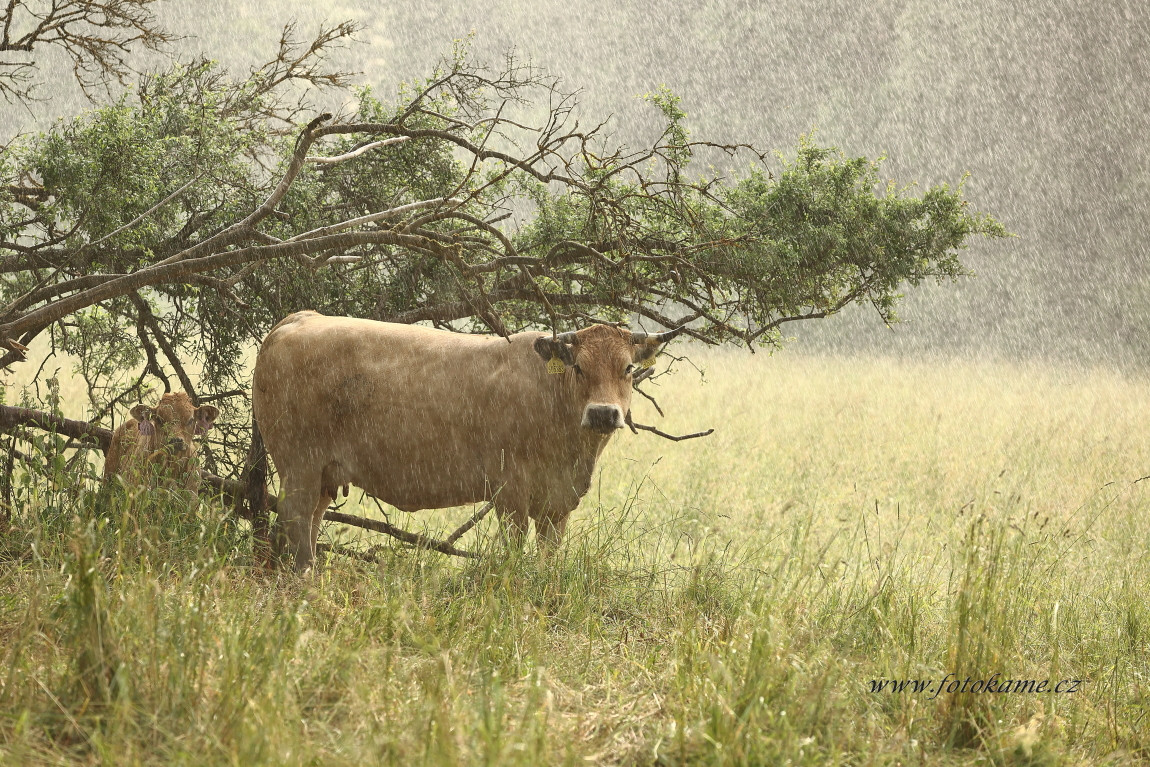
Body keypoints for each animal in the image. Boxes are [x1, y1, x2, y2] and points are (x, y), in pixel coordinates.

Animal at [254, 312, 680, 570]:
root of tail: (299, 319)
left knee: (311, 520)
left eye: (628, 368)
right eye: (578, 367)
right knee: (296, 516)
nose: (603, 413)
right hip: (300, 465)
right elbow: (514, 545)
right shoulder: (510, 491)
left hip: (323, 473)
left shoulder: (557, 502)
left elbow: (548, 553)